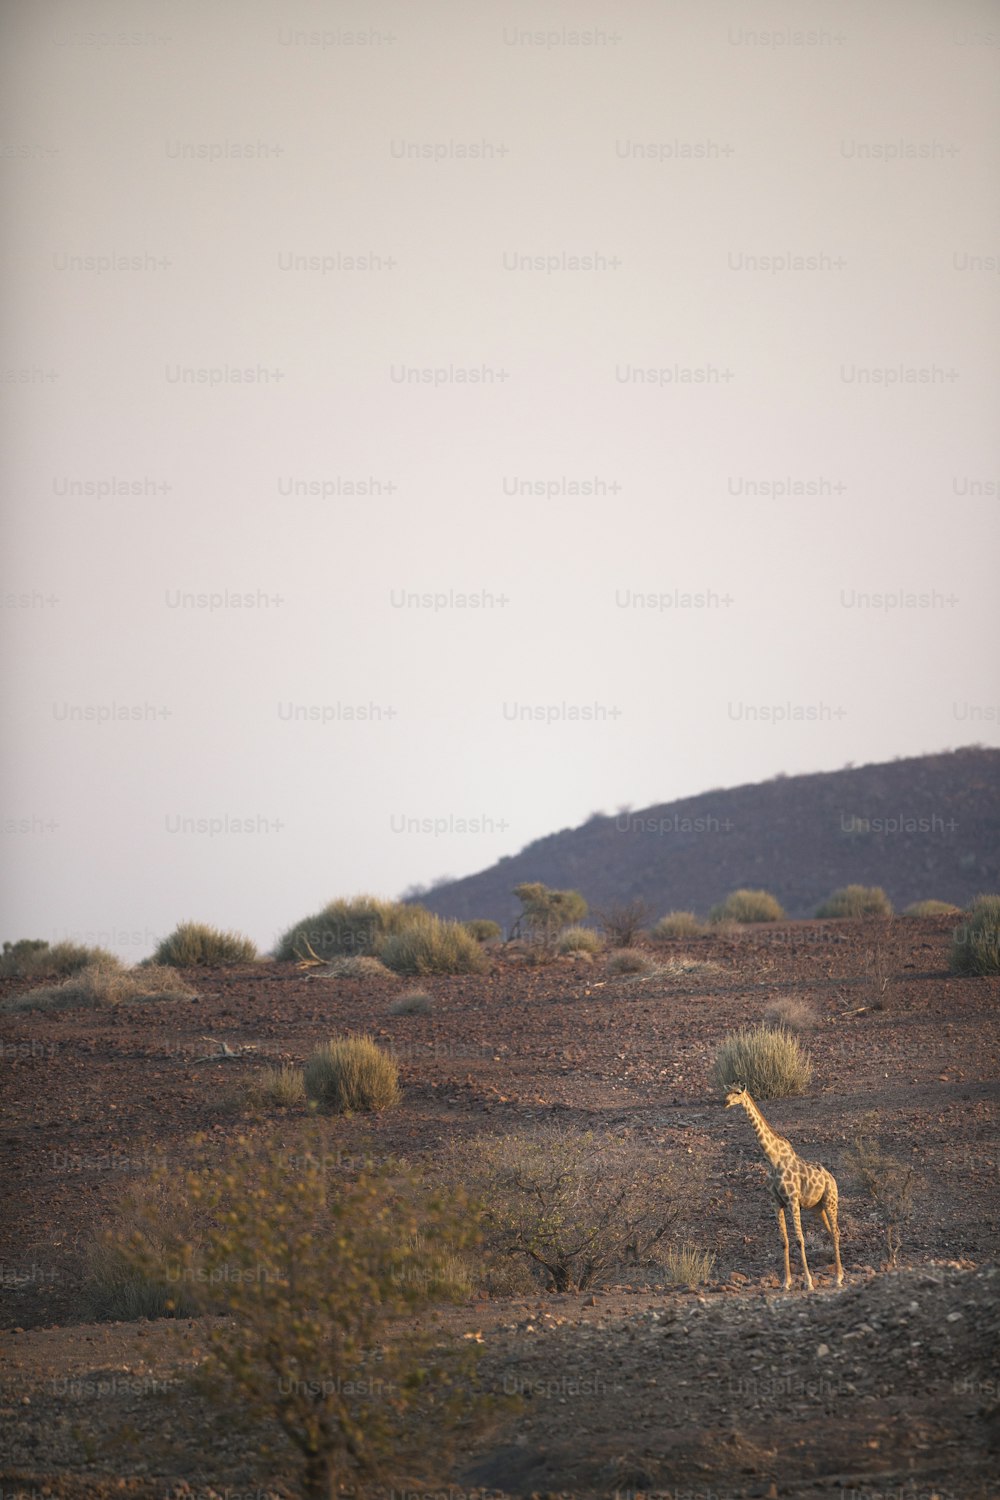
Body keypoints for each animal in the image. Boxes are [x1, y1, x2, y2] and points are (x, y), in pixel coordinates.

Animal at [728, 1092, 845, 1290]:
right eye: (727, 1091)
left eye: (737, 1092)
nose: (726, 1102)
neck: (773, 1159)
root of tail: (832, 1178)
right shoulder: (776, 1203)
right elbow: (784, 1241)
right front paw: (786, 1283)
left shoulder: (792, 1201)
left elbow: (799, 1239)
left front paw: (808, 1283)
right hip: (817, 1208)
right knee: (831, 1232)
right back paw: (837, 1276)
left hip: (830, 1201)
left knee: (836, 1232)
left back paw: (838, 1279)